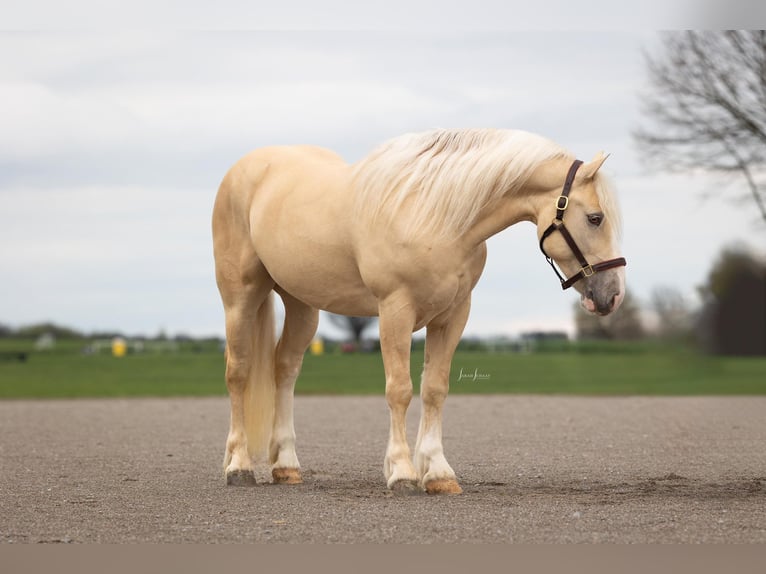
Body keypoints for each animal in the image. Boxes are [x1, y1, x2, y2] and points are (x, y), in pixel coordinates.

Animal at [211, 128, 626, 495]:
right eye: (595, 218)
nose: (613, 295)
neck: (435, 216)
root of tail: (245, 169)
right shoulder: (396, 310)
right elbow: (400, 390)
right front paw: (402, 471)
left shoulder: (453, 315)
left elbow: (434, 389)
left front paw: (438, 473)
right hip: (240, 297)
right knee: (238, 372)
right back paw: (238, 467)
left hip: (301, 304)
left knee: (284, 370)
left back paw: (286, 467)